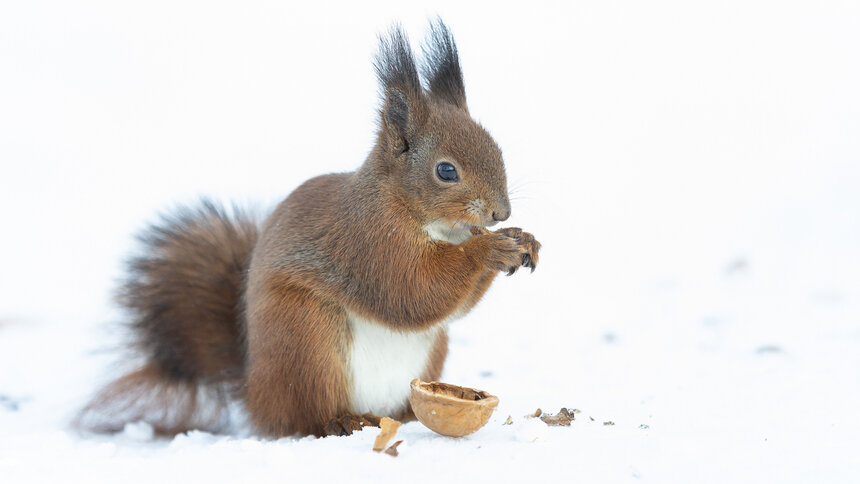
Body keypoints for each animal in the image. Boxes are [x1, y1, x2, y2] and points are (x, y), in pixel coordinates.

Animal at [77, 19, 540, 438]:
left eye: (495, 147)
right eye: (446, 171)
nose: (501, 213)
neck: (437, 226)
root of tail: (254, 392)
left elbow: (452, 307)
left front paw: (525, 241)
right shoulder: (368, 239)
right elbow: (411, 290)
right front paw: (489, 250)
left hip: (425, 349)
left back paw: (406, 415)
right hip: (306, 339)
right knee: (303, 417)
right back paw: (342, 421)